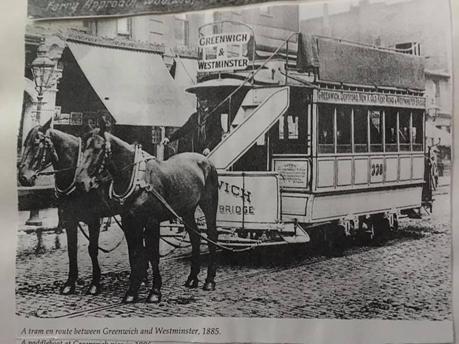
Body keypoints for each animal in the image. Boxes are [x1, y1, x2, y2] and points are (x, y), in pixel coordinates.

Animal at [18, 120, 120, 296]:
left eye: (37, 144)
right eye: (25, 144)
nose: (23, 177)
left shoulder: (93, 220)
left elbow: (93, 249)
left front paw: (95, 284)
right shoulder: (70, 219)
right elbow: (72, 249)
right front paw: (69, 284)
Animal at [75, 126, 219, 304]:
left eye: (97, 148)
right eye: (82, 149)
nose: (80, 182)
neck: (138, 178)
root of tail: (205, 160)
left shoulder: (151, 222)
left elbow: (152, 254)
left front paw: (155, 291)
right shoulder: (129, 222)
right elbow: (136, 254)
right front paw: (132, 291)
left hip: (209, 205)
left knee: (212, 235)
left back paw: (210, 280)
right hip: (187, 210)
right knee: (195, 237)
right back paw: (192, 278)